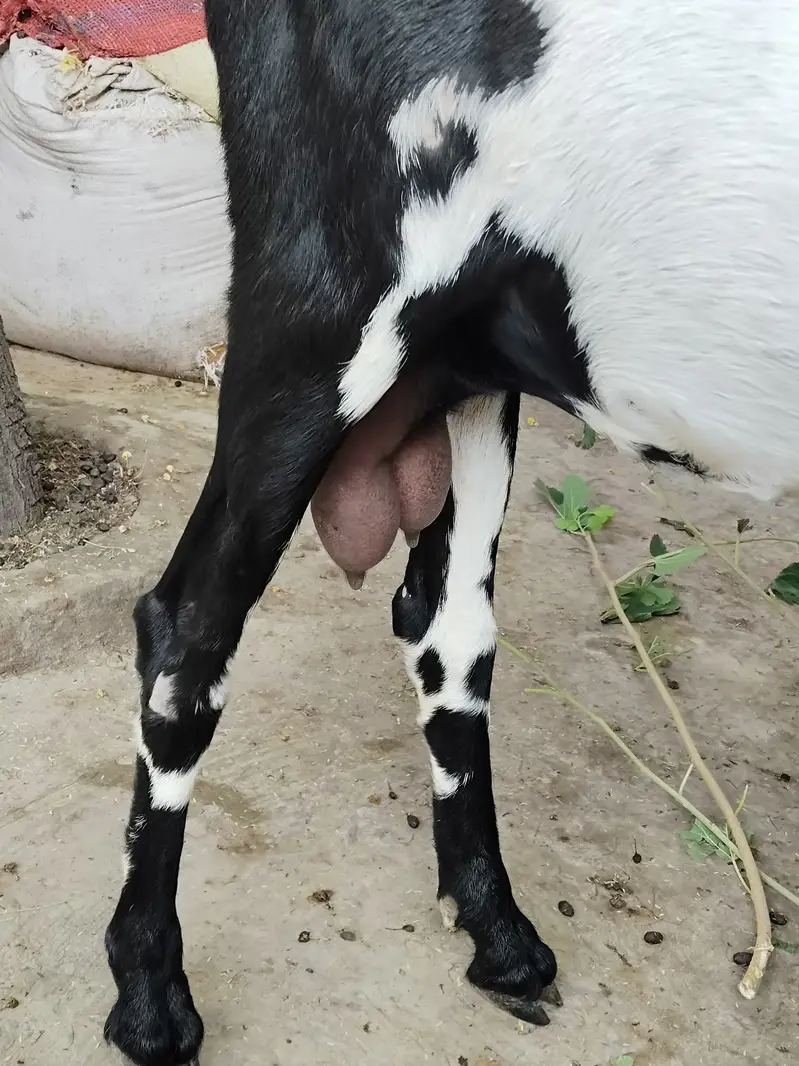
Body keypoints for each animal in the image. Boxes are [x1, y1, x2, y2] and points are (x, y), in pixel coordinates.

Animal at [103, 1, 799, 1062]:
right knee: (189, 627)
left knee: (447, 626)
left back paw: (495, 930)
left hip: (464, 360)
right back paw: (148, 995)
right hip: (322, 306)